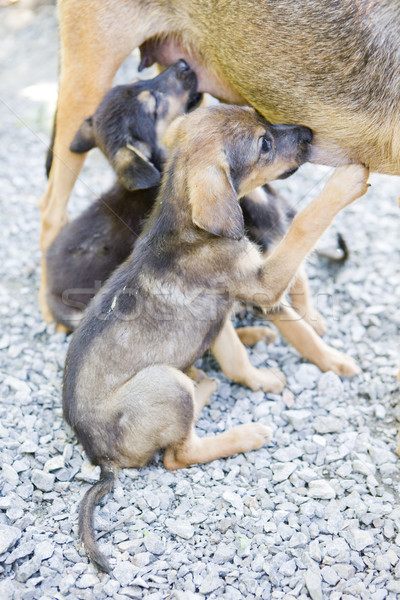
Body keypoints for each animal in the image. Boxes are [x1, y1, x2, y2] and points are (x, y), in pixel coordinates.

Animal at [61, 104, 368, 572]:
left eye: (261, 116)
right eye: (264, 144)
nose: (308, 133)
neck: (185, 225)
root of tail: (98, 458)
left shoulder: (221, 307)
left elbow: (235, 357)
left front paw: (258, 375)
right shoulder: (262, 283)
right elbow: (305, 225)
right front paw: (347, 180)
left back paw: (211, 377)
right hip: (162, 384)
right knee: (177, 455)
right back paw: (245, 431)